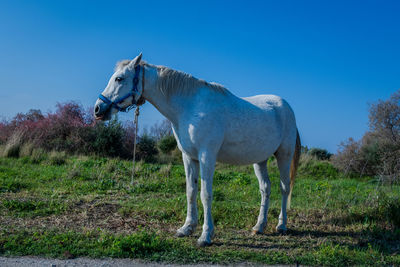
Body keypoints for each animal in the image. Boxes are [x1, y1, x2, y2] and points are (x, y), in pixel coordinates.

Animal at [94, 53, 300, 248]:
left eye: (119, 78)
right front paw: (187, 228)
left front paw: (205, 235)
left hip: (284, 155)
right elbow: (191, 191)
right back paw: (259, 226)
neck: (190, 107)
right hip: (260, 160)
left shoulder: (206, 156)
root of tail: (286, 107)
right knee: (265, 188)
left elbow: (205, 194)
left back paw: (281, 225)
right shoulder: (189, 157)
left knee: (284, 188)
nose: (98, 109)